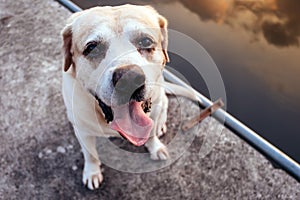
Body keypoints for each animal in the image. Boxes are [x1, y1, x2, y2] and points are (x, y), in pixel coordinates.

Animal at [61, 4, 199, 189]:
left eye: (146, 41)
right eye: (92, 48)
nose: (129, 78)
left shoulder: (152, 113)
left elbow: (151, 134)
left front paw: (155, 147)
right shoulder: (83, 132)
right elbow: (90, 154)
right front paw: (92, 172)